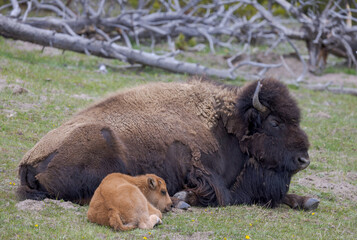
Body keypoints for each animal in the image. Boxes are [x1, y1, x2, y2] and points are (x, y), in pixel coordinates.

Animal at [17, 77, 318, 210]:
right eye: (275, 122)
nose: (304, 159)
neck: (229, 126)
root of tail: (27, 161)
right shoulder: (207, 177)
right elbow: (229, 197)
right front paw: (185, 198)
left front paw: (308, 200)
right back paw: (176, 203)